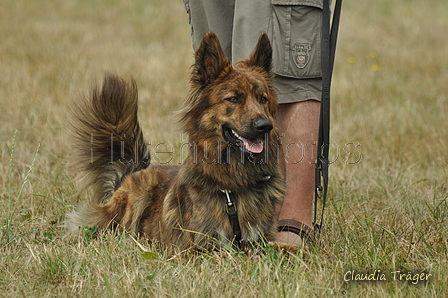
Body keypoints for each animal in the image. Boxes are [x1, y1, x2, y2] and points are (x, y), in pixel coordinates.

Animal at [66, 32, 284, 251]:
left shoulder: (263, 240)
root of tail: (129, 175)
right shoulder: (198, 248)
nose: (265, 126)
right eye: (234, 99)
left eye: (263, 99)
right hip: (141, 190)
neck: (235, 181)